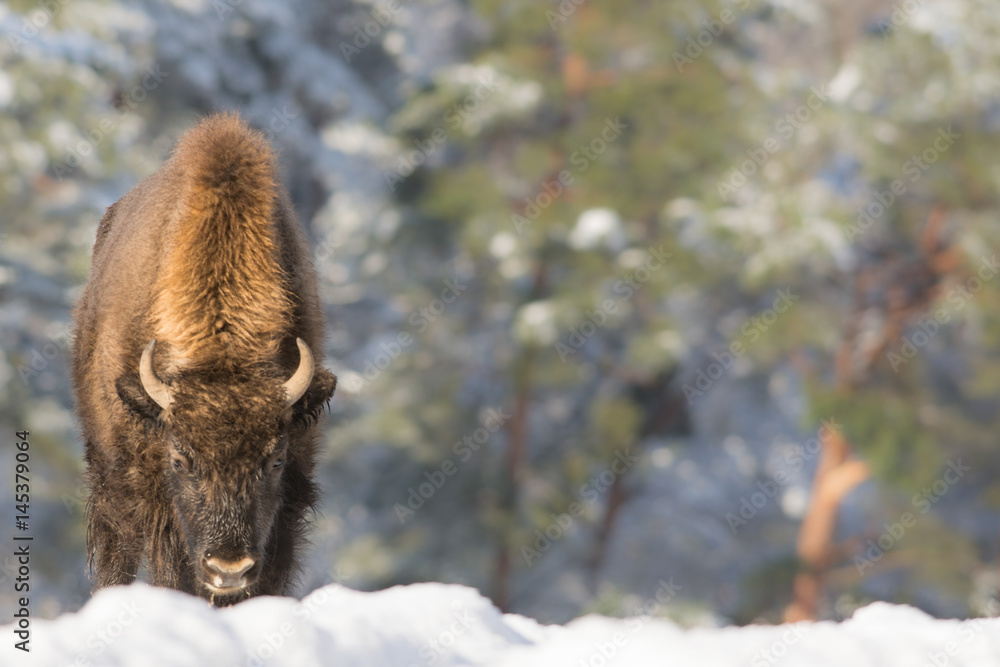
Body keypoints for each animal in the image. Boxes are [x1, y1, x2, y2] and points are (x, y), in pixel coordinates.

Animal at [70, 113, 338, 604]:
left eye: (273, 461)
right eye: (181, 460)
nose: (228, 568)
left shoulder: (292, 490)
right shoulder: (155, 493)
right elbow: (172, 570)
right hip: (108, 481)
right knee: (116, 552)